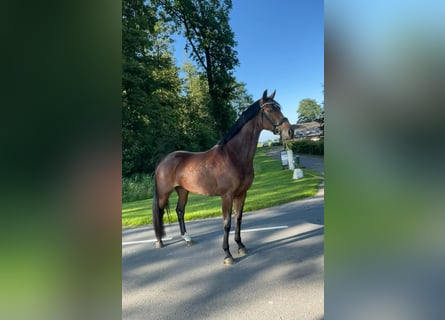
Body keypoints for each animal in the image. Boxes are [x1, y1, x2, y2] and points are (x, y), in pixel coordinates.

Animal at [151, 90, 294, 264]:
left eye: (278, 107)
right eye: (270, 109)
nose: (289, 131)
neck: (233, 155)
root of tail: (163, 160)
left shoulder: (242, 193)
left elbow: (238, 219)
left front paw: (241, 246)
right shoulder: (227, 196)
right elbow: (226, 223)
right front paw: (227, 254)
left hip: (183, 191)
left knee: (180, 211)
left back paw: (187, 238)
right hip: (164, 193)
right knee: (159, 212)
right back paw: (159, 241)